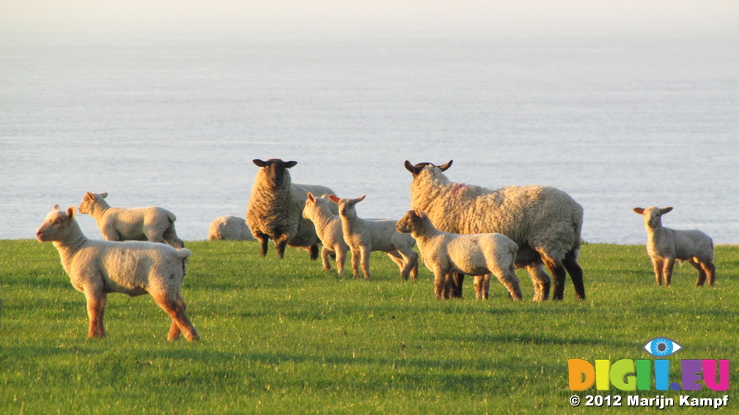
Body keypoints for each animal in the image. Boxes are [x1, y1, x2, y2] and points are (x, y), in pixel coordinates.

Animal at [35, 205, 199, 342]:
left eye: (58, 221)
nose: (38, 233)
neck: (77, 249)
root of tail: (179, 254)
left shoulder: (91, 282)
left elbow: (92, 309)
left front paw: (91, 336)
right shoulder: (101, 286)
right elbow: (101, 309)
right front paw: (101, 336)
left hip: (161, 282)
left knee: (175, 309)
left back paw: (192, 336)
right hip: (173, 283)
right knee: (181, 305)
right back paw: (173, 336)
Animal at [396, 210, 524, 300]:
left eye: (409, 217)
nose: (396, 226)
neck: (430, 237)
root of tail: (512, 244)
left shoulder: (439, 265)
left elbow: (438, 283)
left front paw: (437, 298)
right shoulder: (447, 268)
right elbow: (446, 284)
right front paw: (445, 298)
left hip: (499, 264)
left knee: (510, 281)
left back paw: (517, 299)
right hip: (509, 265)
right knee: (516, 280)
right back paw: (519, 297)